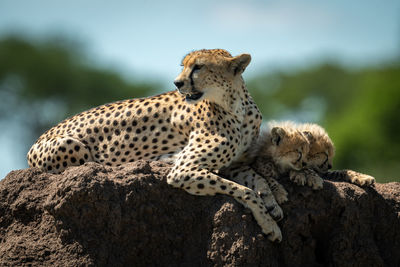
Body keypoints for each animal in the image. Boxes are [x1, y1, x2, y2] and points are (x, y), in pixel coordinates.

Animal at [26, 48, 282, 243]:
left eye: (198, 67)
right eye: (183, 66)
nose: (177, 82)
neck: (235, 105)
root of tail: (36, 142)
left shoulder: (234, 164)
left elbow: (258, 180)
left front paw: (273, 205)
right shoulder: (183, 170)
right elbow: (245, 191)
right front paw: (269, 223)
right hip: (73, 145)